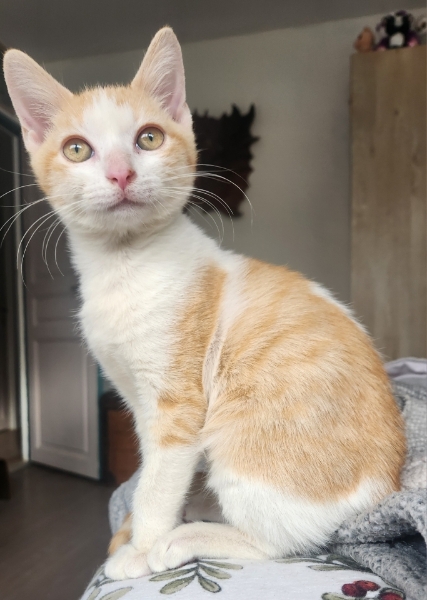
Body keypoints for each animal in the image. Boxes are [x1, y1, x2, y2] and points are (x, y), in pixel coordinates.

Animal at [4, 27, 405, 580]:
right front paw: (140, 525)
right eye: (77, 149)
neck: (123, 267)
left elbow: (157, 481)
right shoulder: (136, 399)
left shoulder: (177, 405)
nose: (120, 174)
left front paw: (140, 547)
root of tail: (386, 484)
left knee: (282, 542)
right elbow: (151, 471)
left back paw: (184, 538)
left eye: (149, 138)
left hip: (243, 445)